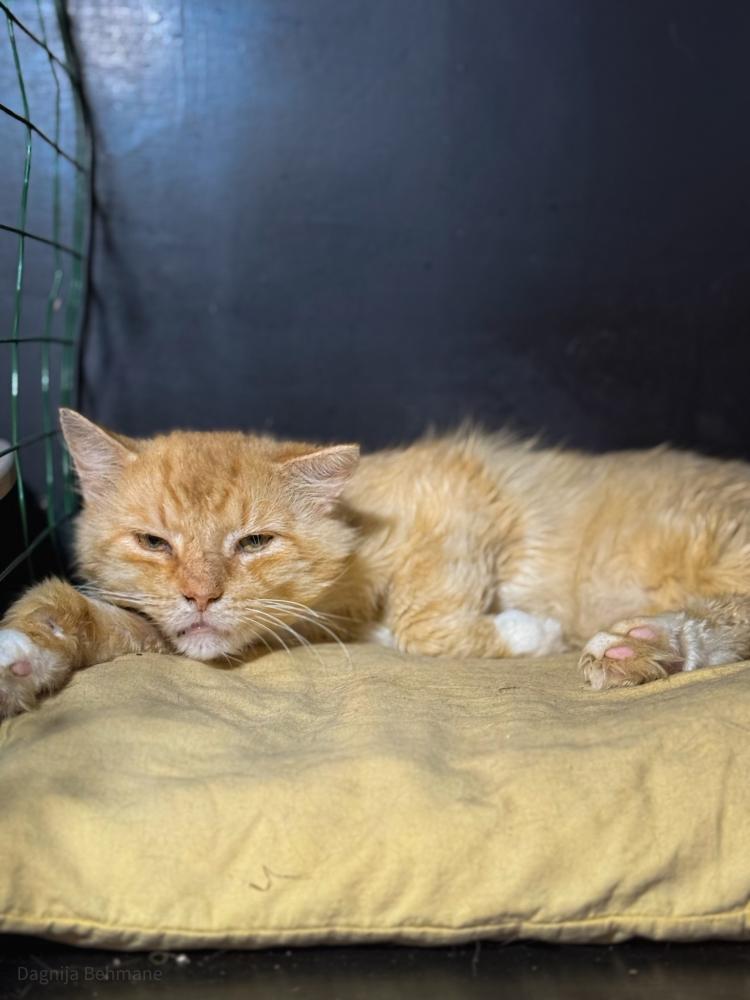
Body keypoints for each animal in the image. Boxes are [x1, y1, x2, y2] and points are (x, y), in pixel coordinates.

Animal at [2, 407, 750, 718]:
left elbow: (426, 626)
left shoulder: (460, 491)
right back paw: (645, 645)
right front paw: (20, 655)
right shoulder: (155, 627)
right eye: (154, 543)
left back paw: (635, 642)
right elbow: (72, 615)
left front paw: (529, 632)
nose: (201, 597)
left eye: (254, 542)